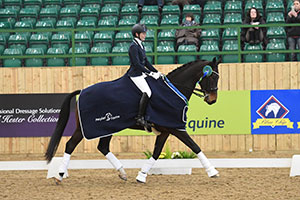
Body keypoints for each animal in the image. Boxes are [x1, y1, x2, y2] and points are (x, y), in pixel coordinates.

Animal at [45, 57, 221, 184]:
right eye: (212, 77)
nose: (212, 100)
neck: (173, 90)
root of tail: (81, 91)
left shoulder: (165, 130)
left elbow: (156, 152)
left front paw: (142, 175)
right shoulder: (176, 128)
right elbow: (195, 146)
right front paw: (212, 171)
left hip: (108, 127)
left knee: (103, 147)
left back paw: (122, 173)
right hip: (87, 129)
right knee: (70, 145)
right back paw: (59, 175)